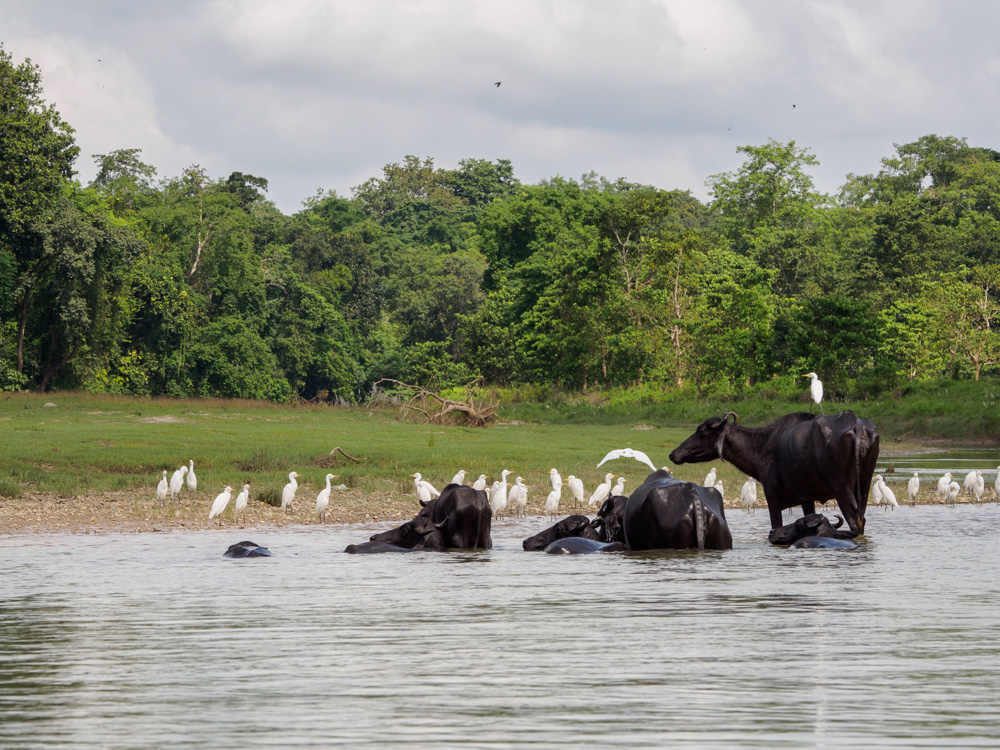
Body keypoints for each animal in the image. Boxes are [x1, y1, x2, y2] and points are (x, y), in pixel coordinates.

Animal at [672, 412, 876, 540]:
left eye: (701, 430)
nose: (674, 454)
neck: (761, 446)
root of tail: (857, 425)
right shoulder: (806, 498)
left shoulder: (771, 493)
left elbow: (776, 524)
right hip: (864, 486)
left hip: (842, 489)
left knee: (855, 522)